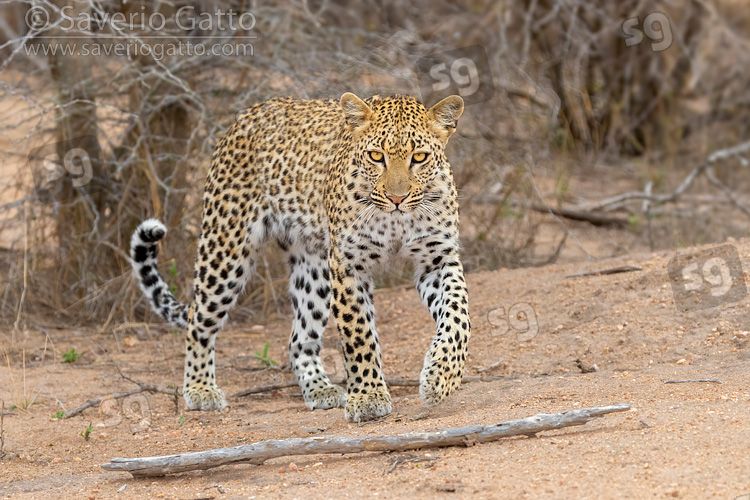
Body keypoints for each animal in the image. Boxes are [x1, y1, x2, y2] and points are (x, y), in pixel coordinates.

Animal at [129, 91, 470, 422]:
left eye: (419, 157)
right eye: (376, 156)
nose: (397, 198)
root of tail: (246, 114)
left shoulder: (436, 259)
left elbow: (458, 316)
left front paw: (442, 376)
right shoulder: (348, 265)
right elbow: (359, 334)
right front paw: (368, 397)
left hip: (314, 268)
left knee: (297, 338)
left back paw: (320, 389)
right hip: (226, 251)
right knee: (197, 321)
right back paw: (200, 388)